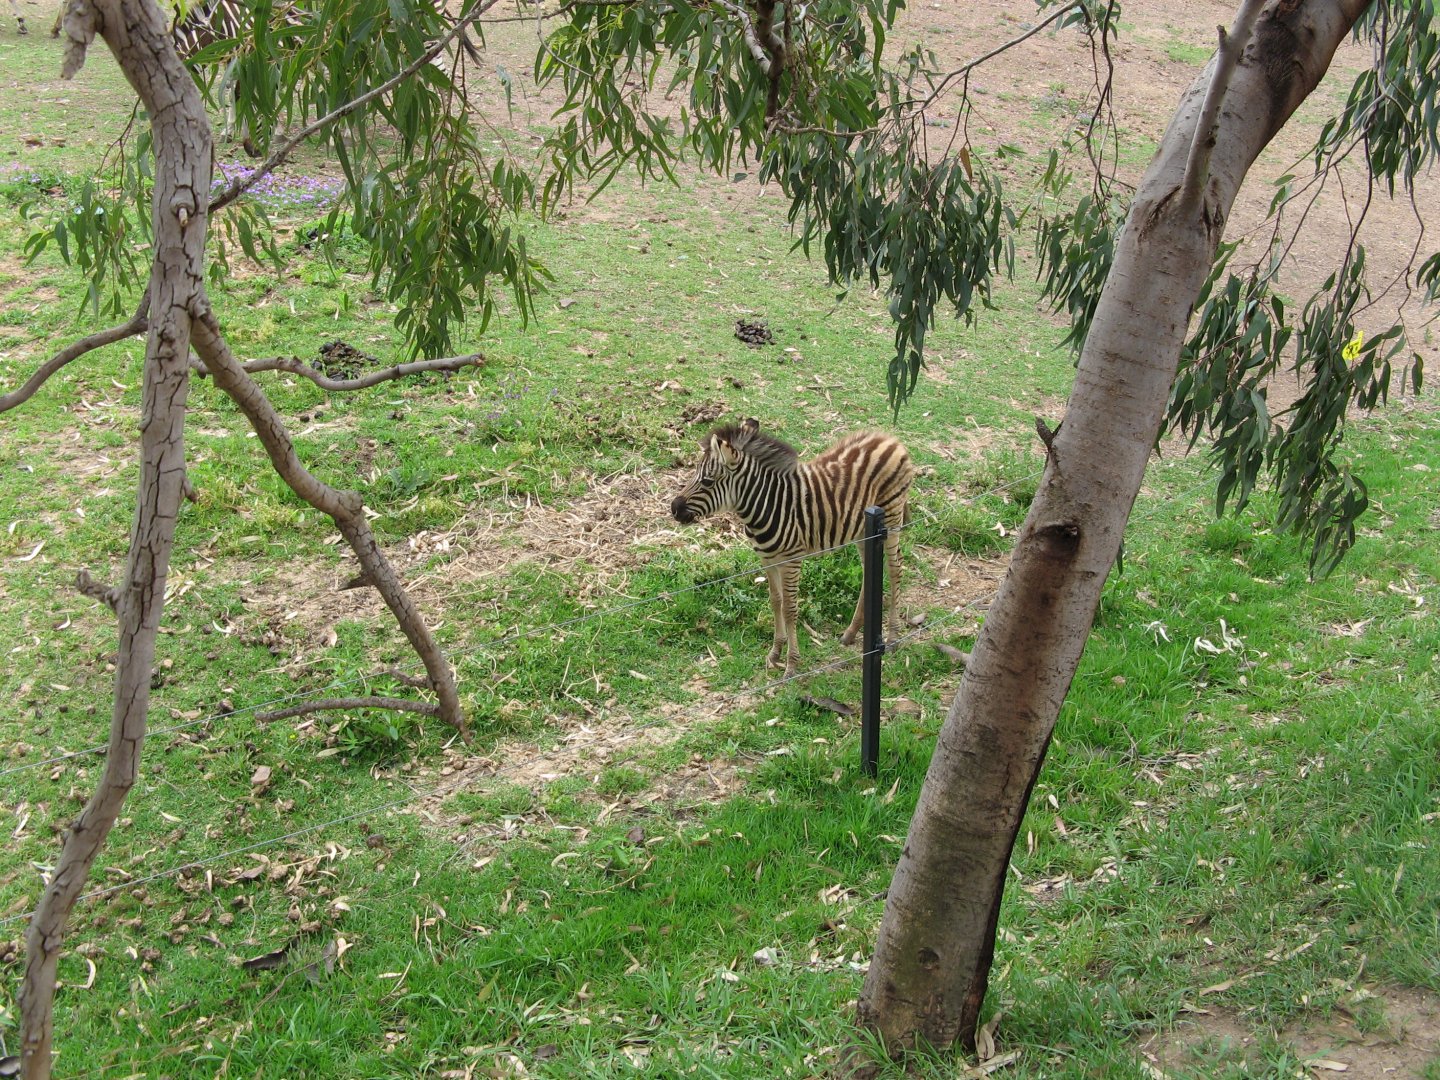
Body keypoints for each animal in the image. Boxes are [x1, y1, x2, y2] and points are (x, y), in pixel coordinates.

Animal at [670, 418, 914, 676]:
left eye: (707, 481)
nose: (674, 509)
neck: (766, 505)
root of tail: (889, 438)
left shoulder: (791, 560)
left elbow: (789, 608)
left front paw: (791, 664)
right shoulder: (766, 559)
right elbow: (775, 601)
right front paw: (775, 652)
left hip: (891, 519)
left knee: (895, 568)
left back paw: (893, 636)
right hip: (863, 530)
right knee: (870, 571)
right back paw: (850, 633)